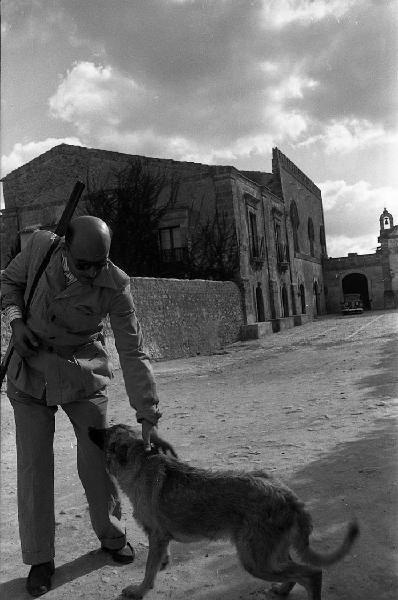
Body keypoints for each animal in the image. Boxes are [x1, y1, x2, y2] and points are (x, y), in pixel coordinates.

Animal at [88, 424, 360, 596]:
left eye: (106, 433)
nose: (89, 428)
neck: (141, 463)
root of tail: (288, 496)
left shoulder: (156, 536)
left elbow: (147, 570)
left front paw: (140, 590)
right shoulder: (161, 538)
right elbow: (157, 562)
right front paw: (160, 567)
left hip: (254, 561)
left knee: (312, 574)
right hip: (269, 555)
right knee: (296, 573)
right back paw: (282, 590)